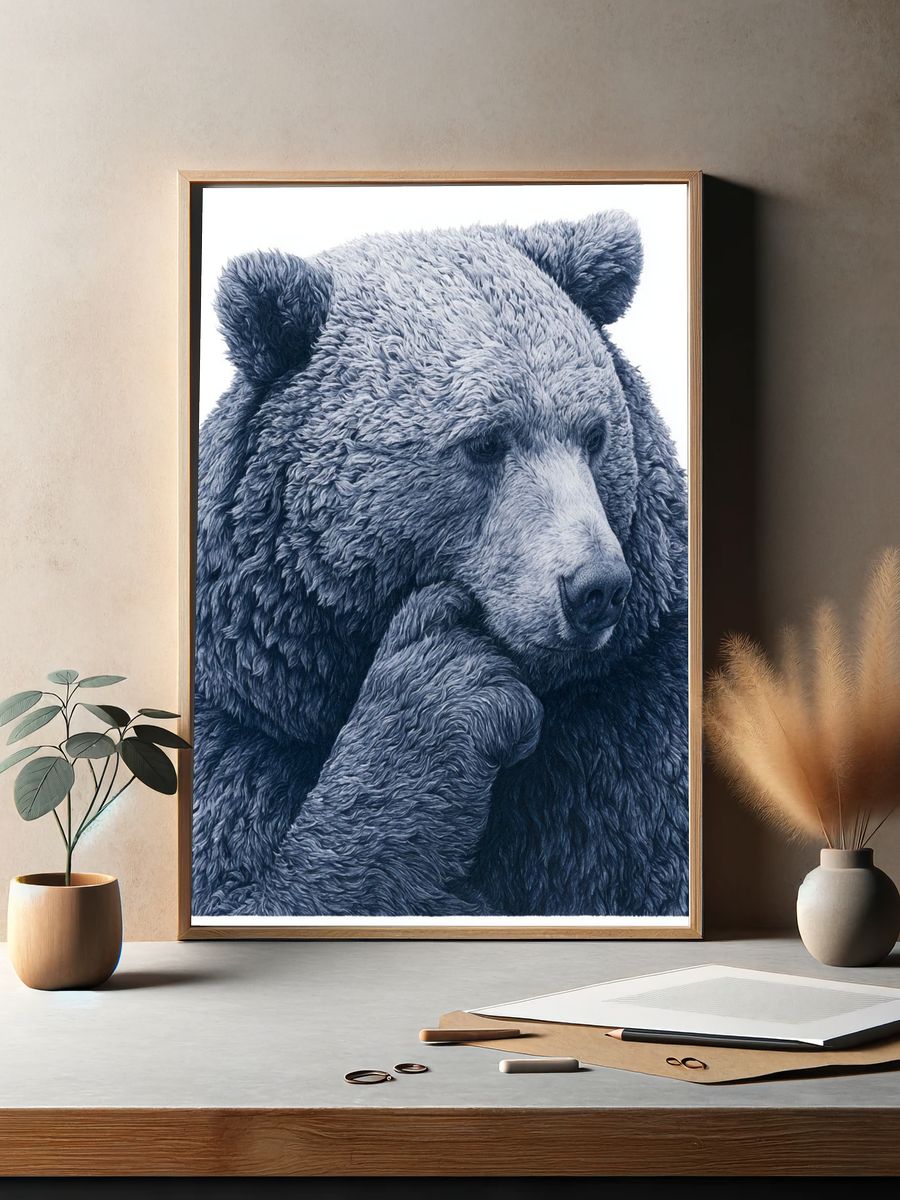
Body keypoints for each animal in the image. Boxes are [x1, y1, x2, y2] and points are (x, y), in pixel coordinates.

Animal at [191, 209, 689, 919]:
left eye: (594, 434)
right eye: (484, 443)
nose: (595, 588)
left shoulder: (635, 729)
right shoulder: (242, 727)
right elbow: (249, 884)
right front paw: (444, 690)